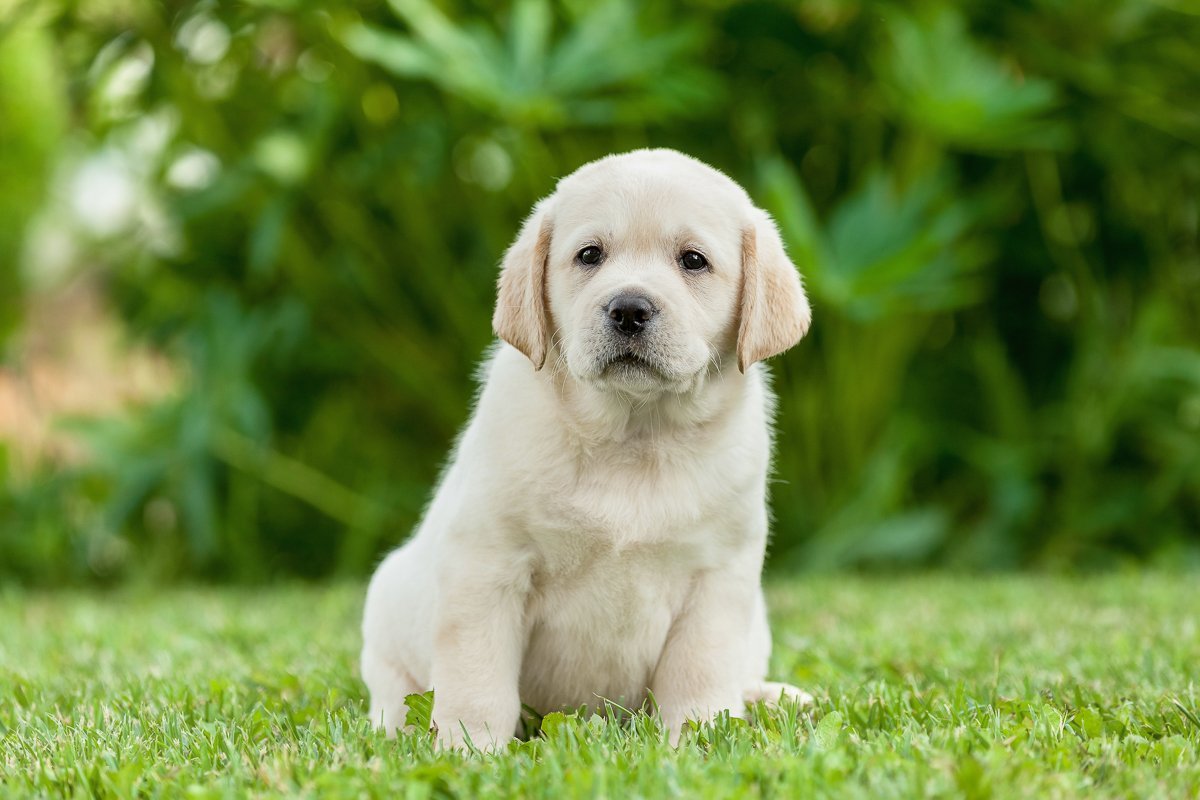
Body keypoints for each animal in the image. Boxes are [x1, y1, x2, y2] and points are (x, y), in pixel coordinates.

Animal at [362, 145, 816, 753]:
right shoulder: (487, 566)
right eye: (590, 255)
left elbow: (699, 673)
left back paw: (773, 698)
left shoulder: (718, 577)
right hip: (386, 604)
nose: (628, 309)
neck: (632, 434)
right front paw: (469, 749)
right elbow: (478, 678)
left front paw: (697, 742)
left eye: (693, 261)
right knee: (395, 691)